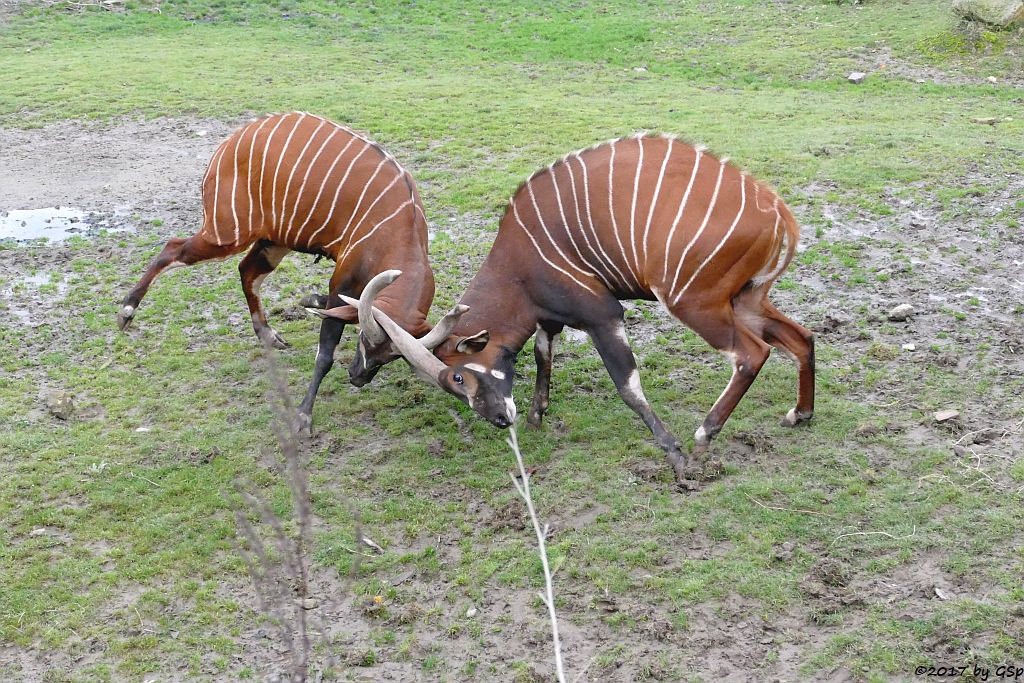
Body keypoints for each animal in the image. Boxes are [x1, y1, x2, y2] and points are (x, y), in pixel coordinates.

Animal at [115, 112, 460, 432]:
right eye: (365, 339)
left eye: (393, 356)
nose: (357, 377)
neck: (399, 228)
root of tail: (230, 142)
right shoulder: (343, 281)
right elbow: (325, 353)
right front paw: (303, 416)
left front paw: (310, 301)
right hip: (226, 235)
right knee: (173, 248)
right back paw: (127, 311)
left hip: (274, 241)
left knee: (246, 271)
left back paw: (268, 334)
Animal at [352, 133, 815, 483]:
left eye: (459, 377)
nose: (501, 419)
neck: (517, 264)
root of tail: (777, 212)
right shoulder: (550, 318)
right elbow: (543, 354)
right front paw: (537, 416)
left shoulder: (602, 314)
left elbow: (627, 386)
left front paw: (675, 455)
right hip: (746, 299)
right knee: (802, 337)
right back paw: (800, 414)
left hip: (697, 303)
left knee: (752, 353)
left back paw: (703, 437)